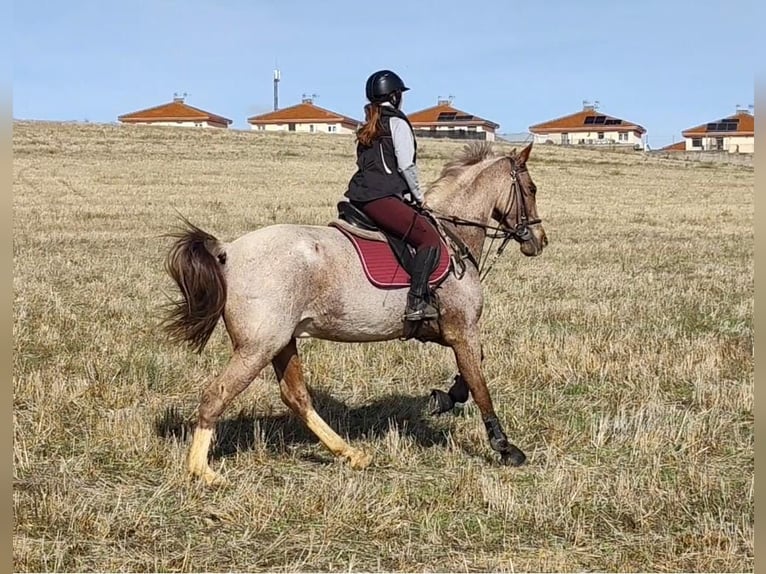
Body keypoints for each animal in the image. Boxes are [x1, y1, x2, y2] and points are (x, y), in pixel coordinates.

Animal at [164, 141, 547, 485]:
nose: (539, 240)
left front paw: (442, 399)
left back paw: (350, 453)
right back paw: (203, 471)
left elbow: (472, 372)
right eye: (531, 188)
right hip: (258, 347)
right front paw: (504, 447)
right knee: (217, 394)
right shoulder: (461, 330)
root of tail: (228, 250)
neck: (452, 236)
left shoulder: (451, 332)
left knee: (296, 397)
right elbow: (479, 384)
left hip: (282, 342)